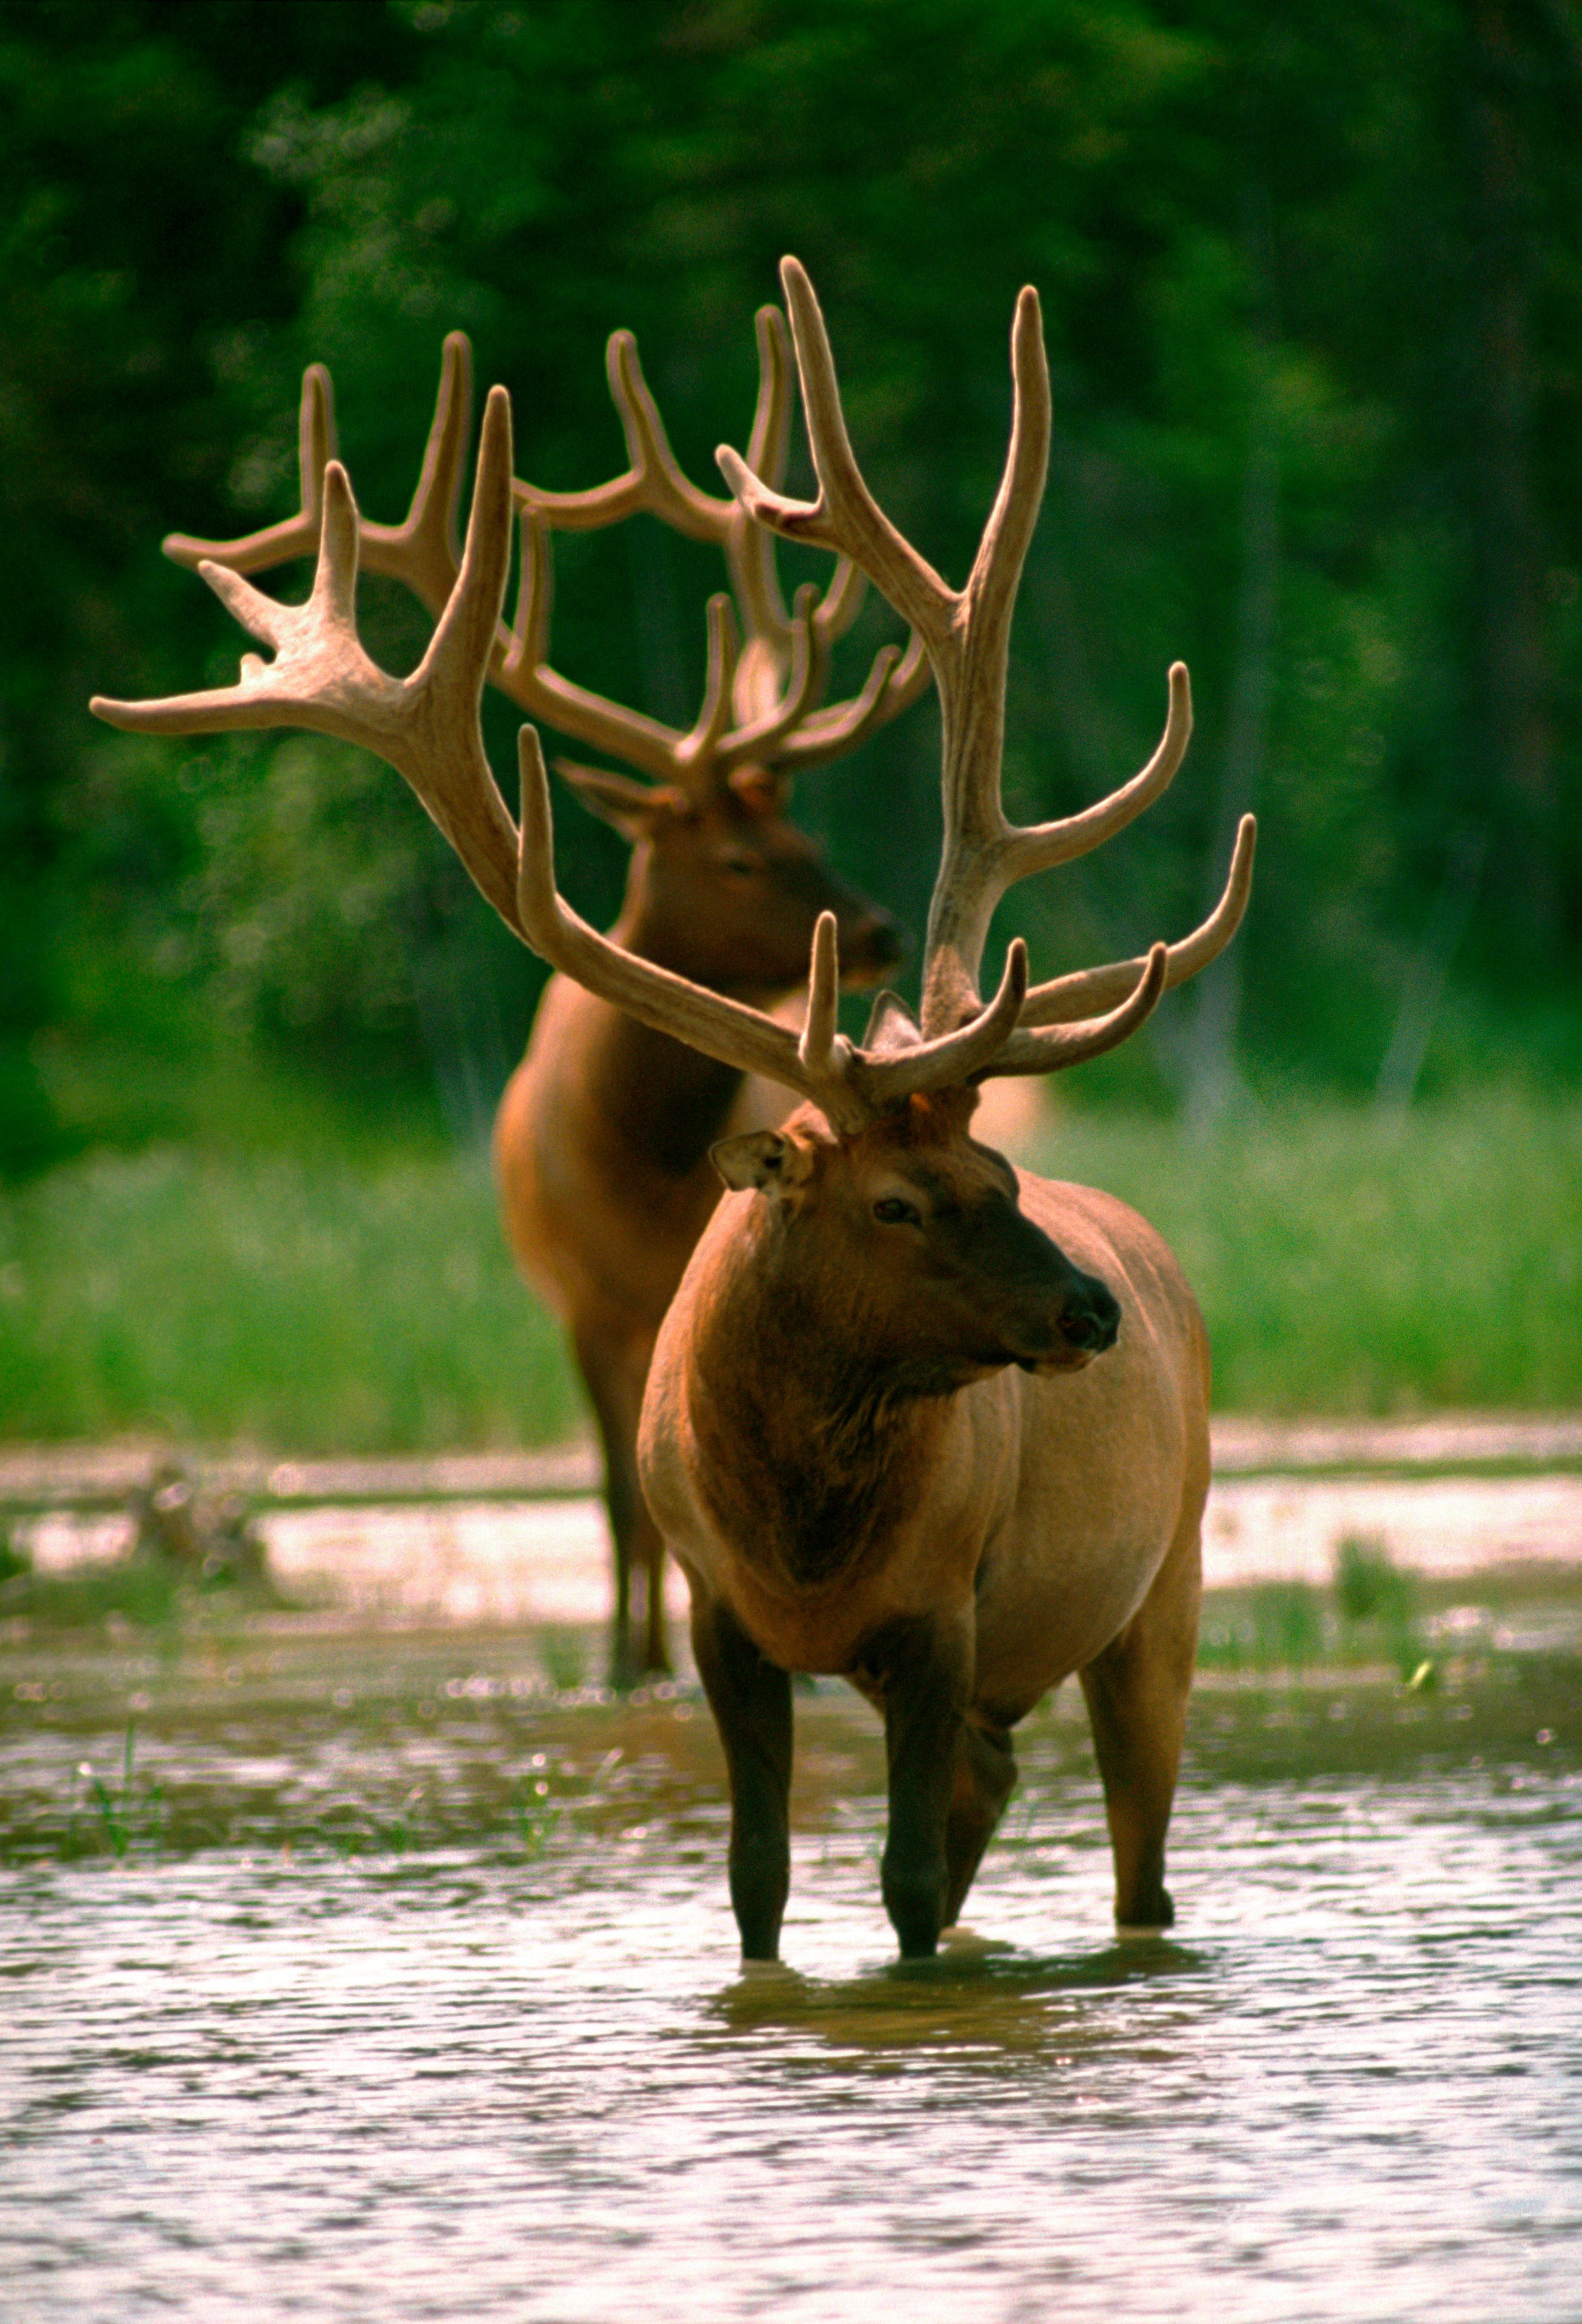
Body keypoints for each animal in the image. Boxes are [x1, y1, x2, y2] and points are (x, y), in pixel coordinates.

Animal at [160, 311, 924, 1683]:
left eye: (805, 832)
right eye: (742, 858)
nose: (881, 928)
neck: (636, 1160)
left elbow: (668, 1502)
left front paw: (660, 1662)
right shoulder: (577, 1302)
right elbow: (618, 1503)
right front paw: (626, 1665)